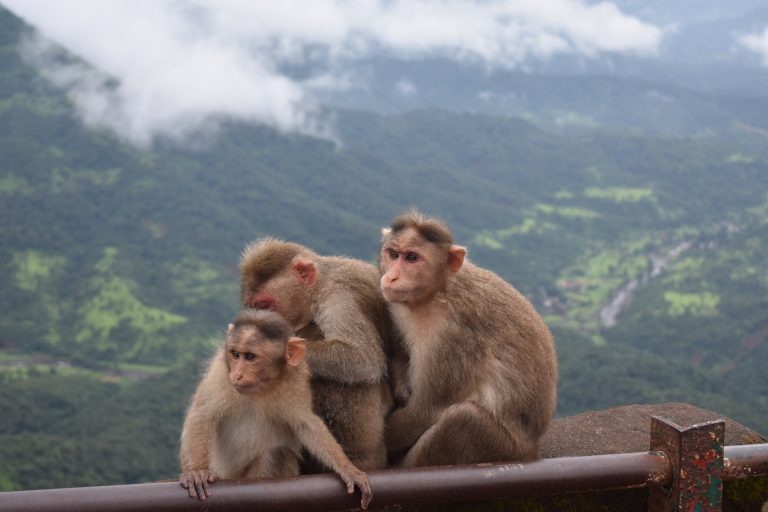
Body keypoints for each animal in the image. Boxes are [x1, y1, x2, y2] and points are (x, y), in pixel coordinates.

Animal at [178, 308, 374, 508]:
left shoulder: (296, 377)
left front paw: (348, 468)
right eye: (235, 354)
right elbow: (202, 415)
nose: (237, 374)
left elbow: (306, 424)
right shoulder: (221, 372)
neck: (261, 386)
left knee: (279, 452)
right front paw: (197, 471)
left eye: (250, 357)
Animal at [238, 240, 396, 472]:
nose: (265, 325)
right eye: (256, 308)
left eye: (266, 305)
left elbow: (361, 357)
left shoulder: (338, 296)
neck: (320, 283)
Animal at [380, 209, 556, 468]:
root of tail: (531, 449)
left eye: (412, 258)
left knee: (461, 419)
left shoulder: (454, 338)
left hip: (501, 447)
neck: (437, 292)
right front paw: (402, 380)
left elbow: (424, 411)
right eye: (393, 254)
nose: (391, 277)